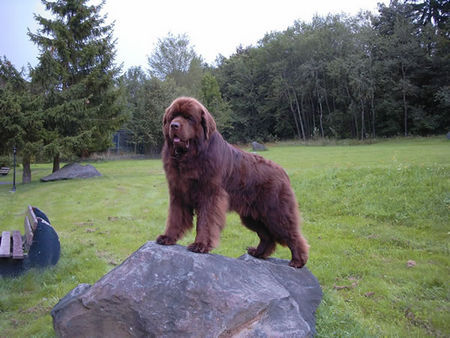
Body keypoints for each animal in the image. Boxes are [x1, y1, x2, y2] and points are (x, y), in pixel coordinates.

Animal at [156, 96, 310, 268]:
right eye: (172, 117)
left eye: (189, 118)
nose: (174, 125)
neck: (191, 156)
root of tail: (283, 172)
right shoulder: (178, 193)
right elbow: (174, 218)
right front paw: (168, 238)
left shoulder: (210, 195)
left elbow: (205, 222)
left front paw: (200, 245)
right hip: (252, 216)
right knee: (267, 236)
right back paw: (258, 253)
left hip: (275, 212)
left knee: (292, 234)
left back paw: (298, 260)